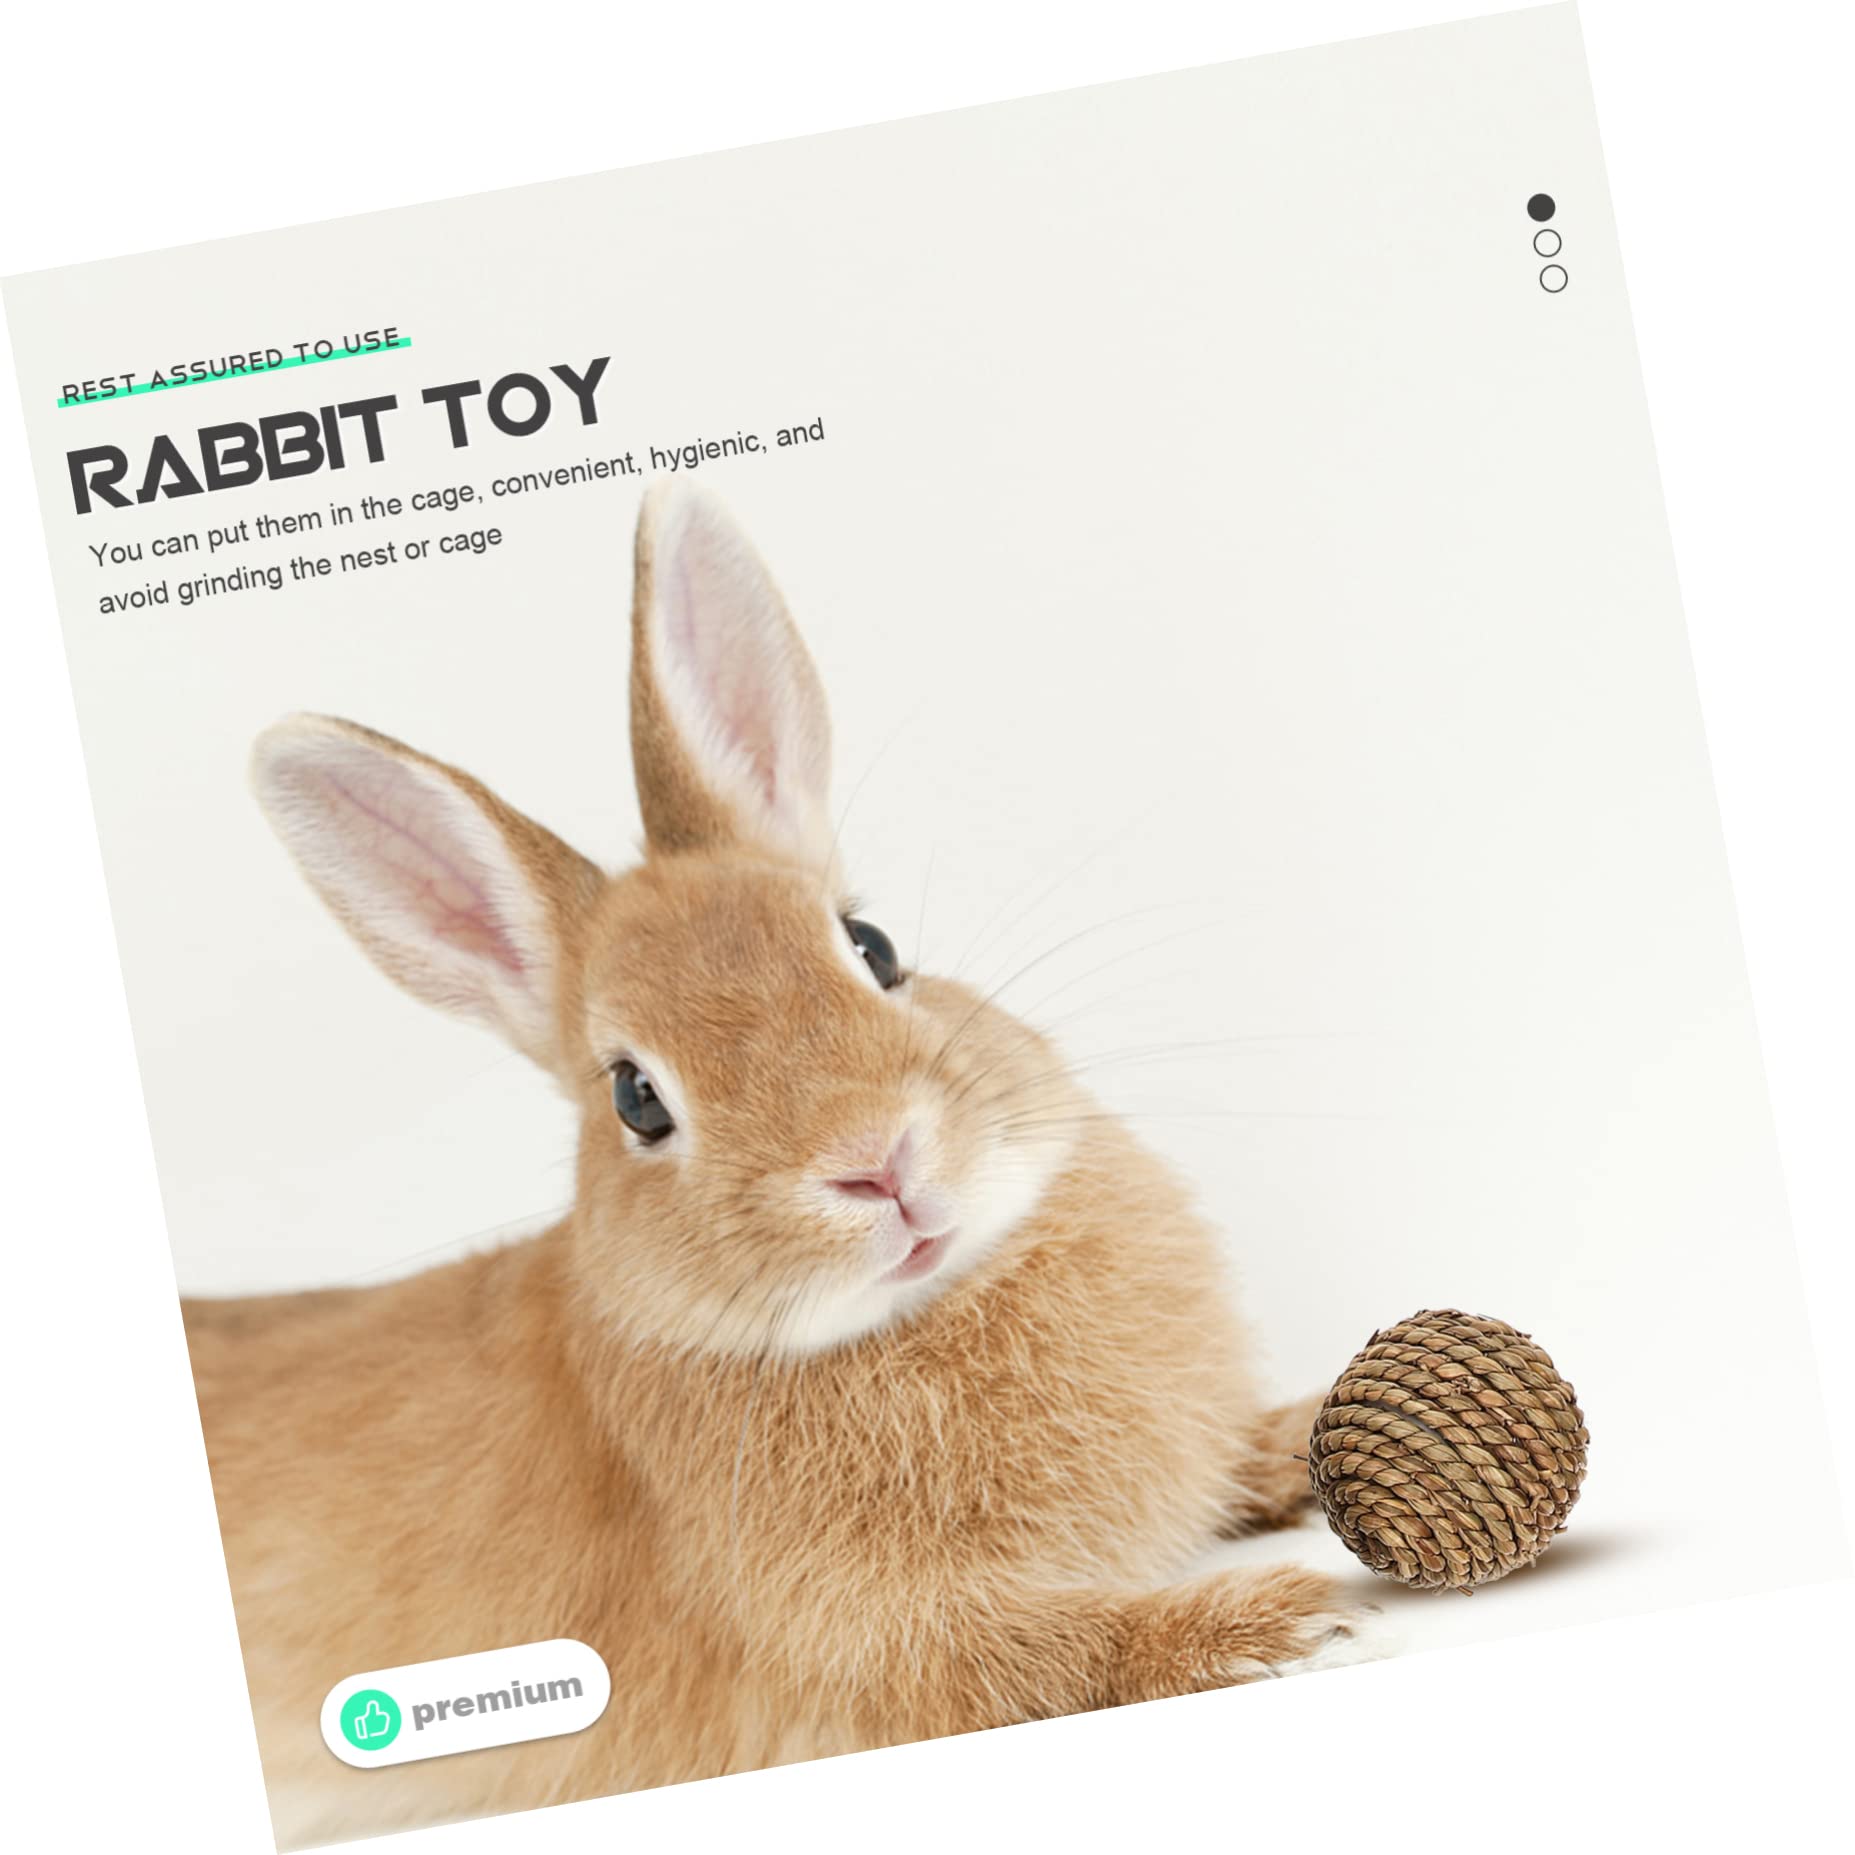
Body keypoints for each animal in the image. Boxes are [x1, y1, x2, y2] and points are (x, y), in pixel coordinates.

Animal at [182, 483, 1357, 1849]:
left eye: (874, 945)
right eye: (636, 1098)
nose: (875, 1162)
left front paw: (1310, 1437)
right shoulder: (858, 1658)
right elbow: (1050, 1662)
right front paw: (1278, 1624)